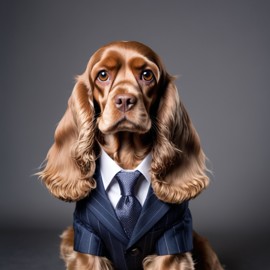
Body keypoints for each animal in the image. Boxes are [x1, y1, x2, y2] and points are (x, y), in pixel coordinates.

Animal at [38, 40, 224, 270]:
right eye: (102, 75)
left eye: (146, 74)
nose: (125, 100)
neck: (127, 163)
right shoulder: (87, 238)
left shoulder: (173, 237)